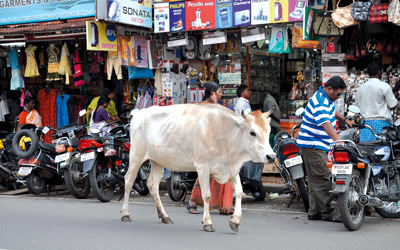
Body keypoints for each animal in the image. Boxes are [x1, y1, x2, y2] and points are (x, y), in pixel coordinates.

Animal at [121, 103, 276, 232]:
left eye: (268, 131)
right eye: (252, 132)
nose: (272, 156)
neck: (226, 134)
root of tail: (138, 114)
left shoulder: (231, 169)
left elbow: (239, 192)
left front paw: (235, 221)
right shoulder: (202, 167)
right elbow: (207, 195)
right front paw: (207, 222)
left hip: (158, 161)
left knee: (153, 185)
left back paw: (164, 216)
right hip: (136, 155)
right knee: (128, 180)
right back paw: (125, 213)